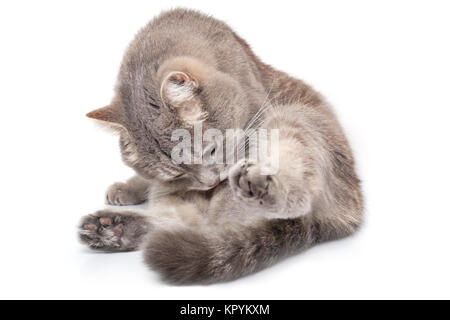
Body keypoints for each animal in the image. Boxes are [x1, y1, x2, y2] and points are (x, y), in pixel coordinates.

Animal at [79, 7, 364, 284]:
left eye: (211, 151)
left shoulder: (258, 119)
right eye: (178, 174)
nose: (211, 183)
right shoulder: (167, 185)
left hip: (291, 120)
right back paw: (113, 230)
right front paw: (128, 188)